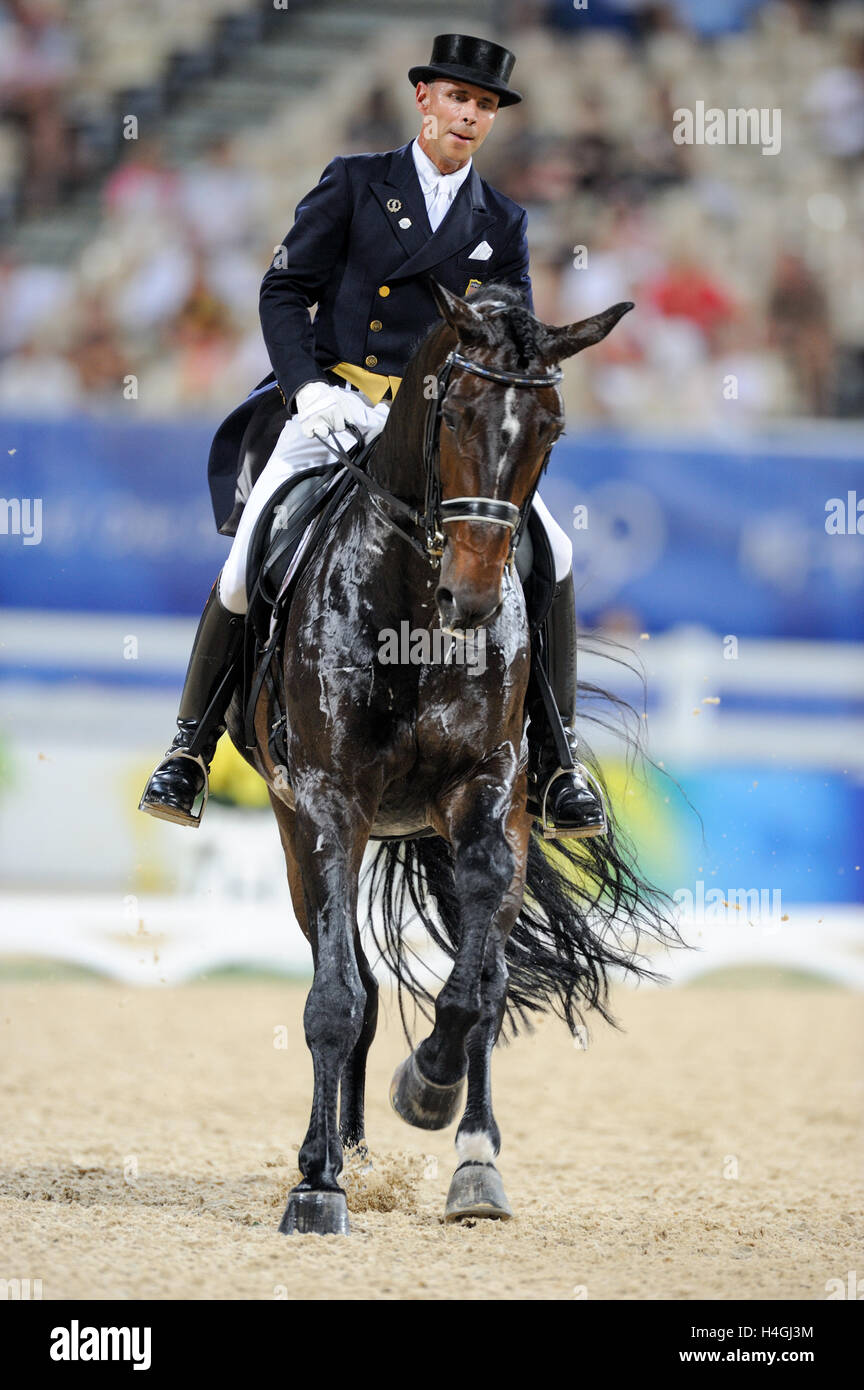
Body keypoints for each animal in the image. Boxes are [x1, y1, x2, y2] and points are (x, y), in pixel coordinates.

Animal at [225, 276, 677, 1234]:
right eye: (457, 414)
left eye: (551, 429)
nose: (470, 597)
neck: (413, 613)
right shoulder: (327, 802)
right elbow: (335, 999)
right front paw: (317, 1185)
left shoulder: (487, 792)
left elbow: (474, 992)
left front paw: (428, 1091)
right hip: (296, 827)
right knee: (352, 982)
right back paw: (345, 1151)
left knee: (489, 977)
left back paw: (474, 1163)